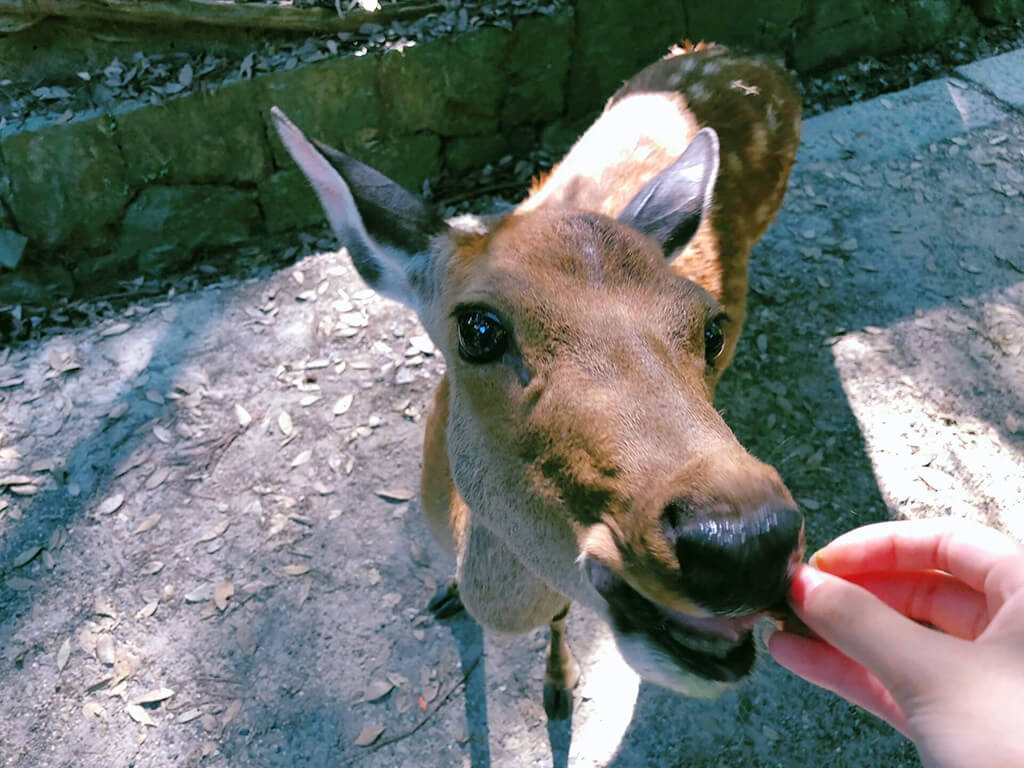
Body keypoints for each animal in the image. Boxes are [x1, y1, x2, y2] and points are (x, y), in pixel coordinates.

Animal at [270, 41, 798, 720]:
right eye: (478, 328)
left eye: (711, 329)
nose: (746, 540)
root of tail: (748, 57)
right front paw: (447, 596)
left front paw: (559, 687)